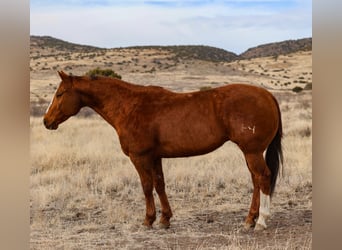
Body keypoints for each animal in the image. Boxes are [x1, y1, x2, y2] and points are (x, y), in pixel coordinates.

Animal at [43, 70, 284, 230]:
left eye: (60, 93)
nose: (46, 121)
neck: (129, 106)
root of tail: (267, 95)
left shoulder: (139, 157)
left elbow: (146, 187)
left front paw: (148, 220)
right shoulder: (155, 157)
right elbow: (159, 185)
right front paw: (165, 219)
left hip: (252, 152)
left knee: (263, 178)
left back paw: (261, 221)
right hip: (250, 153)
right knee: (256, 181)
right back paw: (249, 219)